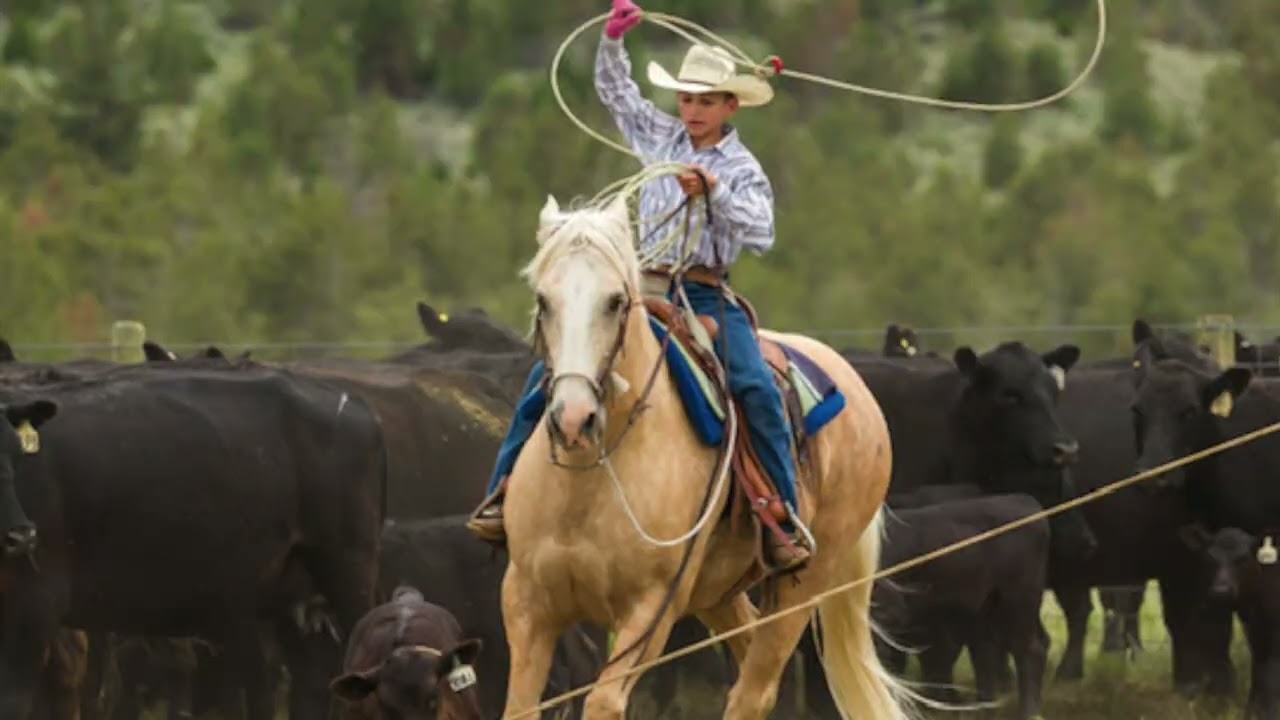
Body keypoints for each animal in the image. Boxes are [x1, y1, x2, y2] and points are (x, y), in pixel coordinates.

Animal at [498, 192, 912, 720]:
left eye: (615, 301)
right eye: (543, 301)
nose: (573, 419)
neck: (585, 486)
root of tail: (853, 382)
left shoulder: (651, 610)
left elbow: (604, 701)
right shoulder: (526, 602)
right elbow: (520, 706)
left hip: (806, 581)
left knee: (754, 688)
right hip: (718, 590)